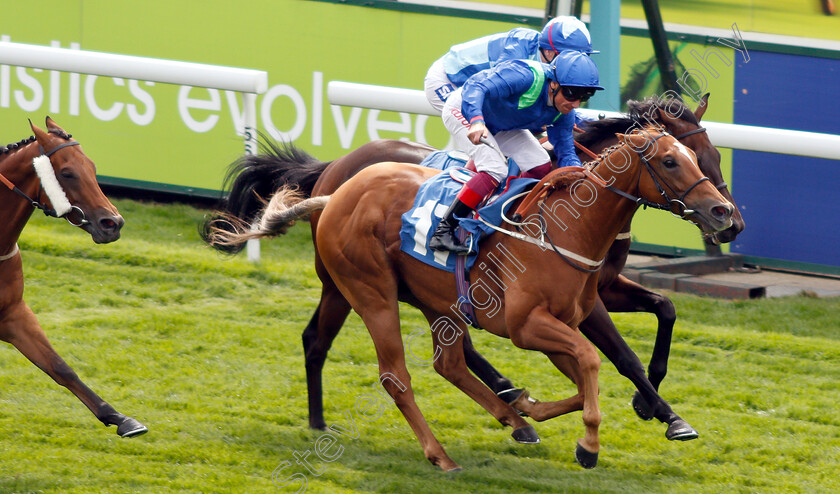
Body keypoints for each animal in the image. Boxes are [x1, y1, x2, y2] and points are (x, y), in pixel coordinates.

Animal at [0, 117, 147, 438]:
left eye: (92, 167)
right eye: (67, 173)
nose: (113, 223)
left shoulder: (13, 313)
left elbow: (60, 367)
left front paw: (120, 418)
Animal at [202, 94, 740, 438]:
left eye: (711, 154)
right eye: (679, 160)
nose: (729, 219)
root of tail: (332, 171)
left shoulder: (601, 287)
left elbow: (665, 307)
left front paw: (652, 402)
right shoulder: (588, 305)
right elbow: (622, 356)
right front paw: (667, 415)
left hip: (411, 286)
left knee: (447, 346)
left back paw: (508, 397)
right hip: (347, 282)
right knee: (319, 339)